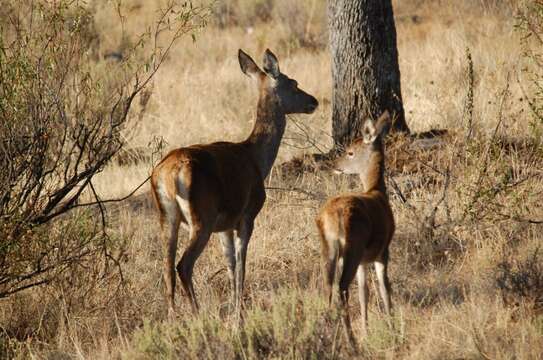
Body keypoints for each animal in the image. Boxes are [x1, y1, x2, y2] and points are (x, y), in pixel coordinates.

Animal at [151, 49, 318, 316]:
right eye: (294, 83)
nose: (313, 101)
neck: (257, 159)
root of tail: (168, 174)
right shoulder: (247, 215)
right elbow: (241, 265)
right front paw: (239, 311)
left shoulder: (225, 225)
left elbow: (229, 264)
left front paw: (234, 307)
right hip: (202, 216)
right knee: (183, 264)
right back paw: (197, 314)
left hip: (167, 216)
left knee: (167, 267)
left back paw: (173, 316)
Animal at [314, 112, 396, 346]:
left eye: (350, 152)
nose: (334, 164)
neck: (377, 192)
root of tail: (330, 218)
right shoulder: (383, 251)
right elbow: (384, 288)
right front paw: (392, 327)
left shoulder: (364, 261)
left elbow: (364, 293)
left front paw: (367, 331)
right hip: (353, 245)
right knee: (341, 287)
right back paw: (350, 340)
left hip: (329, 248)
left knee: (328, 286)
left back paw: (327, 333)